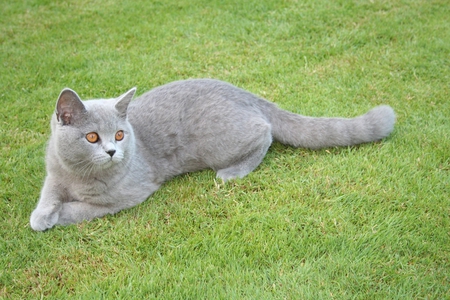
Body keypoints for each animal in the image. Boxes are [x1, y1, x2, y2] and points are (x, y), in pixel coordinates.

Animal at [29, 78, 394, 231]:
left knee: (265, 133)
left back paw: (232, 172)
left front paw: (56, 217)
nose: (112, 150)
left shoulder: (128, 196)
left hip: (221, 141)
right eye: (91, 137)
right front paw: (42, 214)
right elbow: (48, 193)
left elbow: (83, 211)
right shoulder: (54, 172)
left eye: (119, 134)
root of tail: (246, 94)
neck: (79, 176)